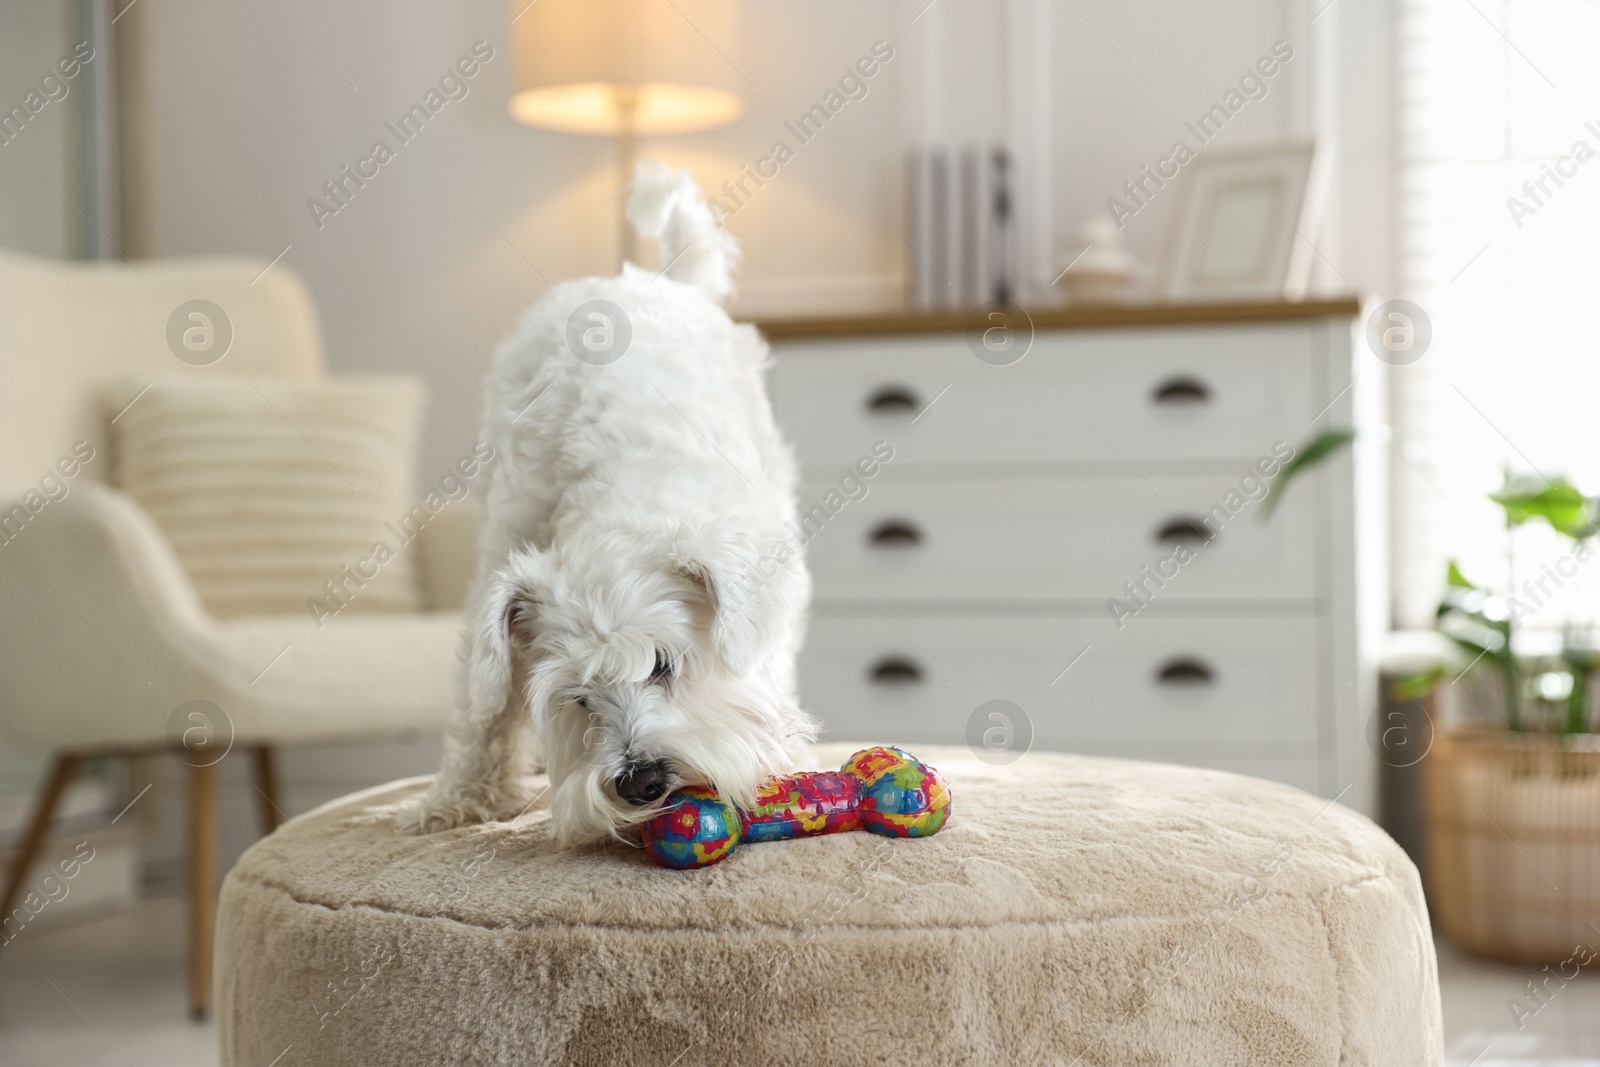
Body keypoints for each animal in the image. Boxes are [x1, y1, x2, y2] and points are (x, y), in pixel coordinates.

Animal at [400, 163, 812, 844]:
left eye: (664, 665)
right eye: (579, 697)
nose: (639, 780)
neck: (617, 501)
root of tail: (649, 278)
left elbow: (761, 669)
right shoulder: (497, 568)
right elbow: (484, 700)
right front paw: (457, 798)